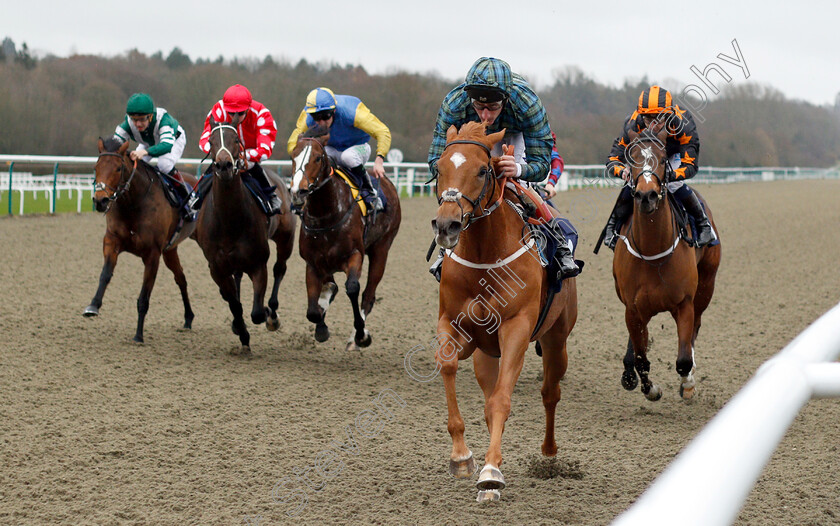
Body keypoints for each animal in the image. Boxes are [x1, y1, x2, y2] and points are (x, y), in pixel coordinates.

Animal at [85, 136, 199, 344]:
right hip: (170, 250)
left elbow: (144, 296)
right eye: (96, 167)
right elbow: (105, 275)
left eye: (118, 168)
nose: (100, 201)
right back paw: (188, 318)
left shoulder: (152, 254)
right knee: (181, 279)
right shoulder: (112, 241)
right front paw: (93, 305)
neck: (133, 203)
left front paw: (138, 334)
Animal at [193, 122, 296, 356]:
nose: (223, 165)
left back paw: (272, 314)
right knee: (237, 279)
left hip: (286, 237)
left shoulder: (258, 263)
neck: (229, 220)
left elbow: (257, 312)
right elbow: (234, 303)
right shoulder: (216, 267)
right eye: (211, 141)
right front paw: (241, 332)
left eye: (236, 140)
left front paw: (265, 314)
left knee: (280, 269)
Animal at [290, 128, 402, 352]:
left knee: (368, 296)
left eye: (317, 157)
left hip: (382, 248)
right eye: (292, 157)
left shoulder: (355, 255)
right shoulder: (313, 263)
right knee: (333, 288)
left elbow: (352, 288)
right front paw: (321, 327)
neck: (326, 215)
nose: (298, 191)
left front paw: (361, 334)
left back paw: (355, 340)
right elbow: (313, 308)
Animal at [434, 122, 576, 504]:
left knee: (550, 393)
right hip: (487, 353)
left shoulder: (516, 329)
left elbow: (501, 400)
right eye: (439, 168)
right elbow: (449, 366)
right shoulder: (453, 323)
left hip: (557, 339)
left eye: (483, 170)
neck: (485, 257)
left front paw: (490, 474)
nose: (447, 226)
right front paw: (462, 457)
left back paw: (549, 454)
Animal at [612, 128, 720, 404]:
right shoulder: (633, 307)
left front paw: (688, 383)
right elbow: (641, 358)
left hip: (706, 287)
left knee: (695, 329)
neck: (653, 253)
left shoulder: (684, 304)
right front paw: (649, 388)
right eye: (631, 160)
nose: (646, 195)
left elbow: (683, 359)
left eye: (662, 160)